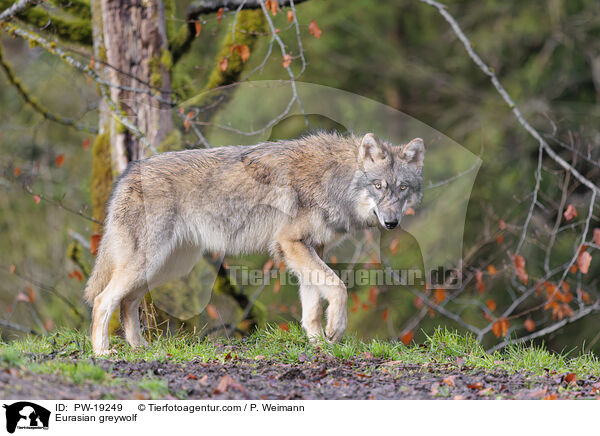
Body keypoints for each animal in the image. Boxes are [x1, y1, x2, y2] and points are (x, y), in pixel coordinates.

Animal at [84, 132, 424, 354]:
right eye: (378, 186)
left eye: (402, 188)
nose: (391, 222)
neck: (334, 180)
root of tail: (128, 173)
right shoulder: (292, 244)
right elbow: (338, 288)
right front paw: (335, 330)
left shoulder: (312, 248)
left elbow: (312, 306)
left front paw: (318, 345)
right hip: (150, 262)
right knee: (103, 300)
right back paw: (102, 353)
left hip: (165, 267)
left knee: (127, 302)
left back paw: (140, 348)